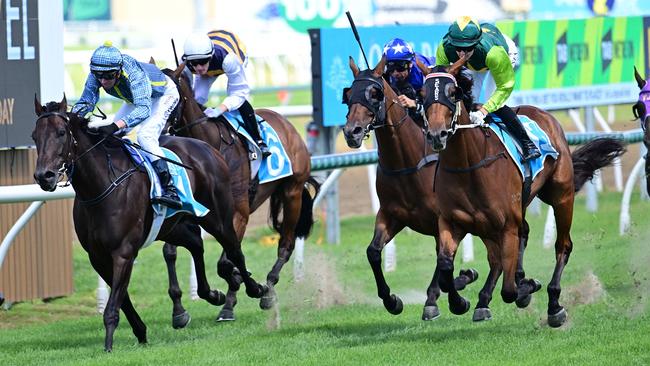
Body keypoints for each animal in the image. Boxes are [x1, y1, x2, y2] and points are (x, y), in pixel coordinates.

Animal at [30, 96, 268, 350]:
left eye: (61, 133)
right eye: (34, 136)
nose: (44, 176)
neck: (101, 186)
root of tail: (208, 148)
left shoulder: (123, 252)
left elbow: (114, 304)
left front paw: (108, 346)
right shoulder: (97, 256)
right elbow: (122, 299)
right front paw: (141, 332)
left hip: (218, 217)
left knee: (234, 251)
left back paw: (258, 290)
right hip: (171, 227)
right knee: (196, 243)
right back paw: (212, 294)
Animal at [162, 64, 318, 322]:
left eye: (170, 100)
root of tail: (287, 124)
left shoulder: (238, 213)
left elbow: (226, 262)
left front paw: (242, 286)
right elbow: (170, 252)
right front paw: (179, 309)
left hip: (292, 192)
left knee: (285, 245)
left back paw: (267, 290)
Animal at [342, 57, 478, 320]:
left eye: (374, 93)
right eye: (348, 94)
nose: (351, 131)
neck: (407, 164)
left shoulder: (441, 221)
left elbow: (442, 265)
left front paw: (440, 301)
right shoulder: (391, 215)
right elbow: (373, 252)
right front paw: (391, 300)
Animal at [416, 58, 624, 328]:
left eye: (454, 93)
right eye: (422, 94)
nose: (436, 134)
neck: (469, 164)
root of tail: (546, 116)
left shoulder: (506, 226)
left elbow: (509, 291)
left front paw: (526, 287)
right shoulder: (453, 223)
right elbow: (444, 267)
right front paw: (459, 301)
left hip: (561, 196)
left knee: (562, 245)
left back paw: (554, 305)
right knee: (516, 241)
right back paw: (490, 297)